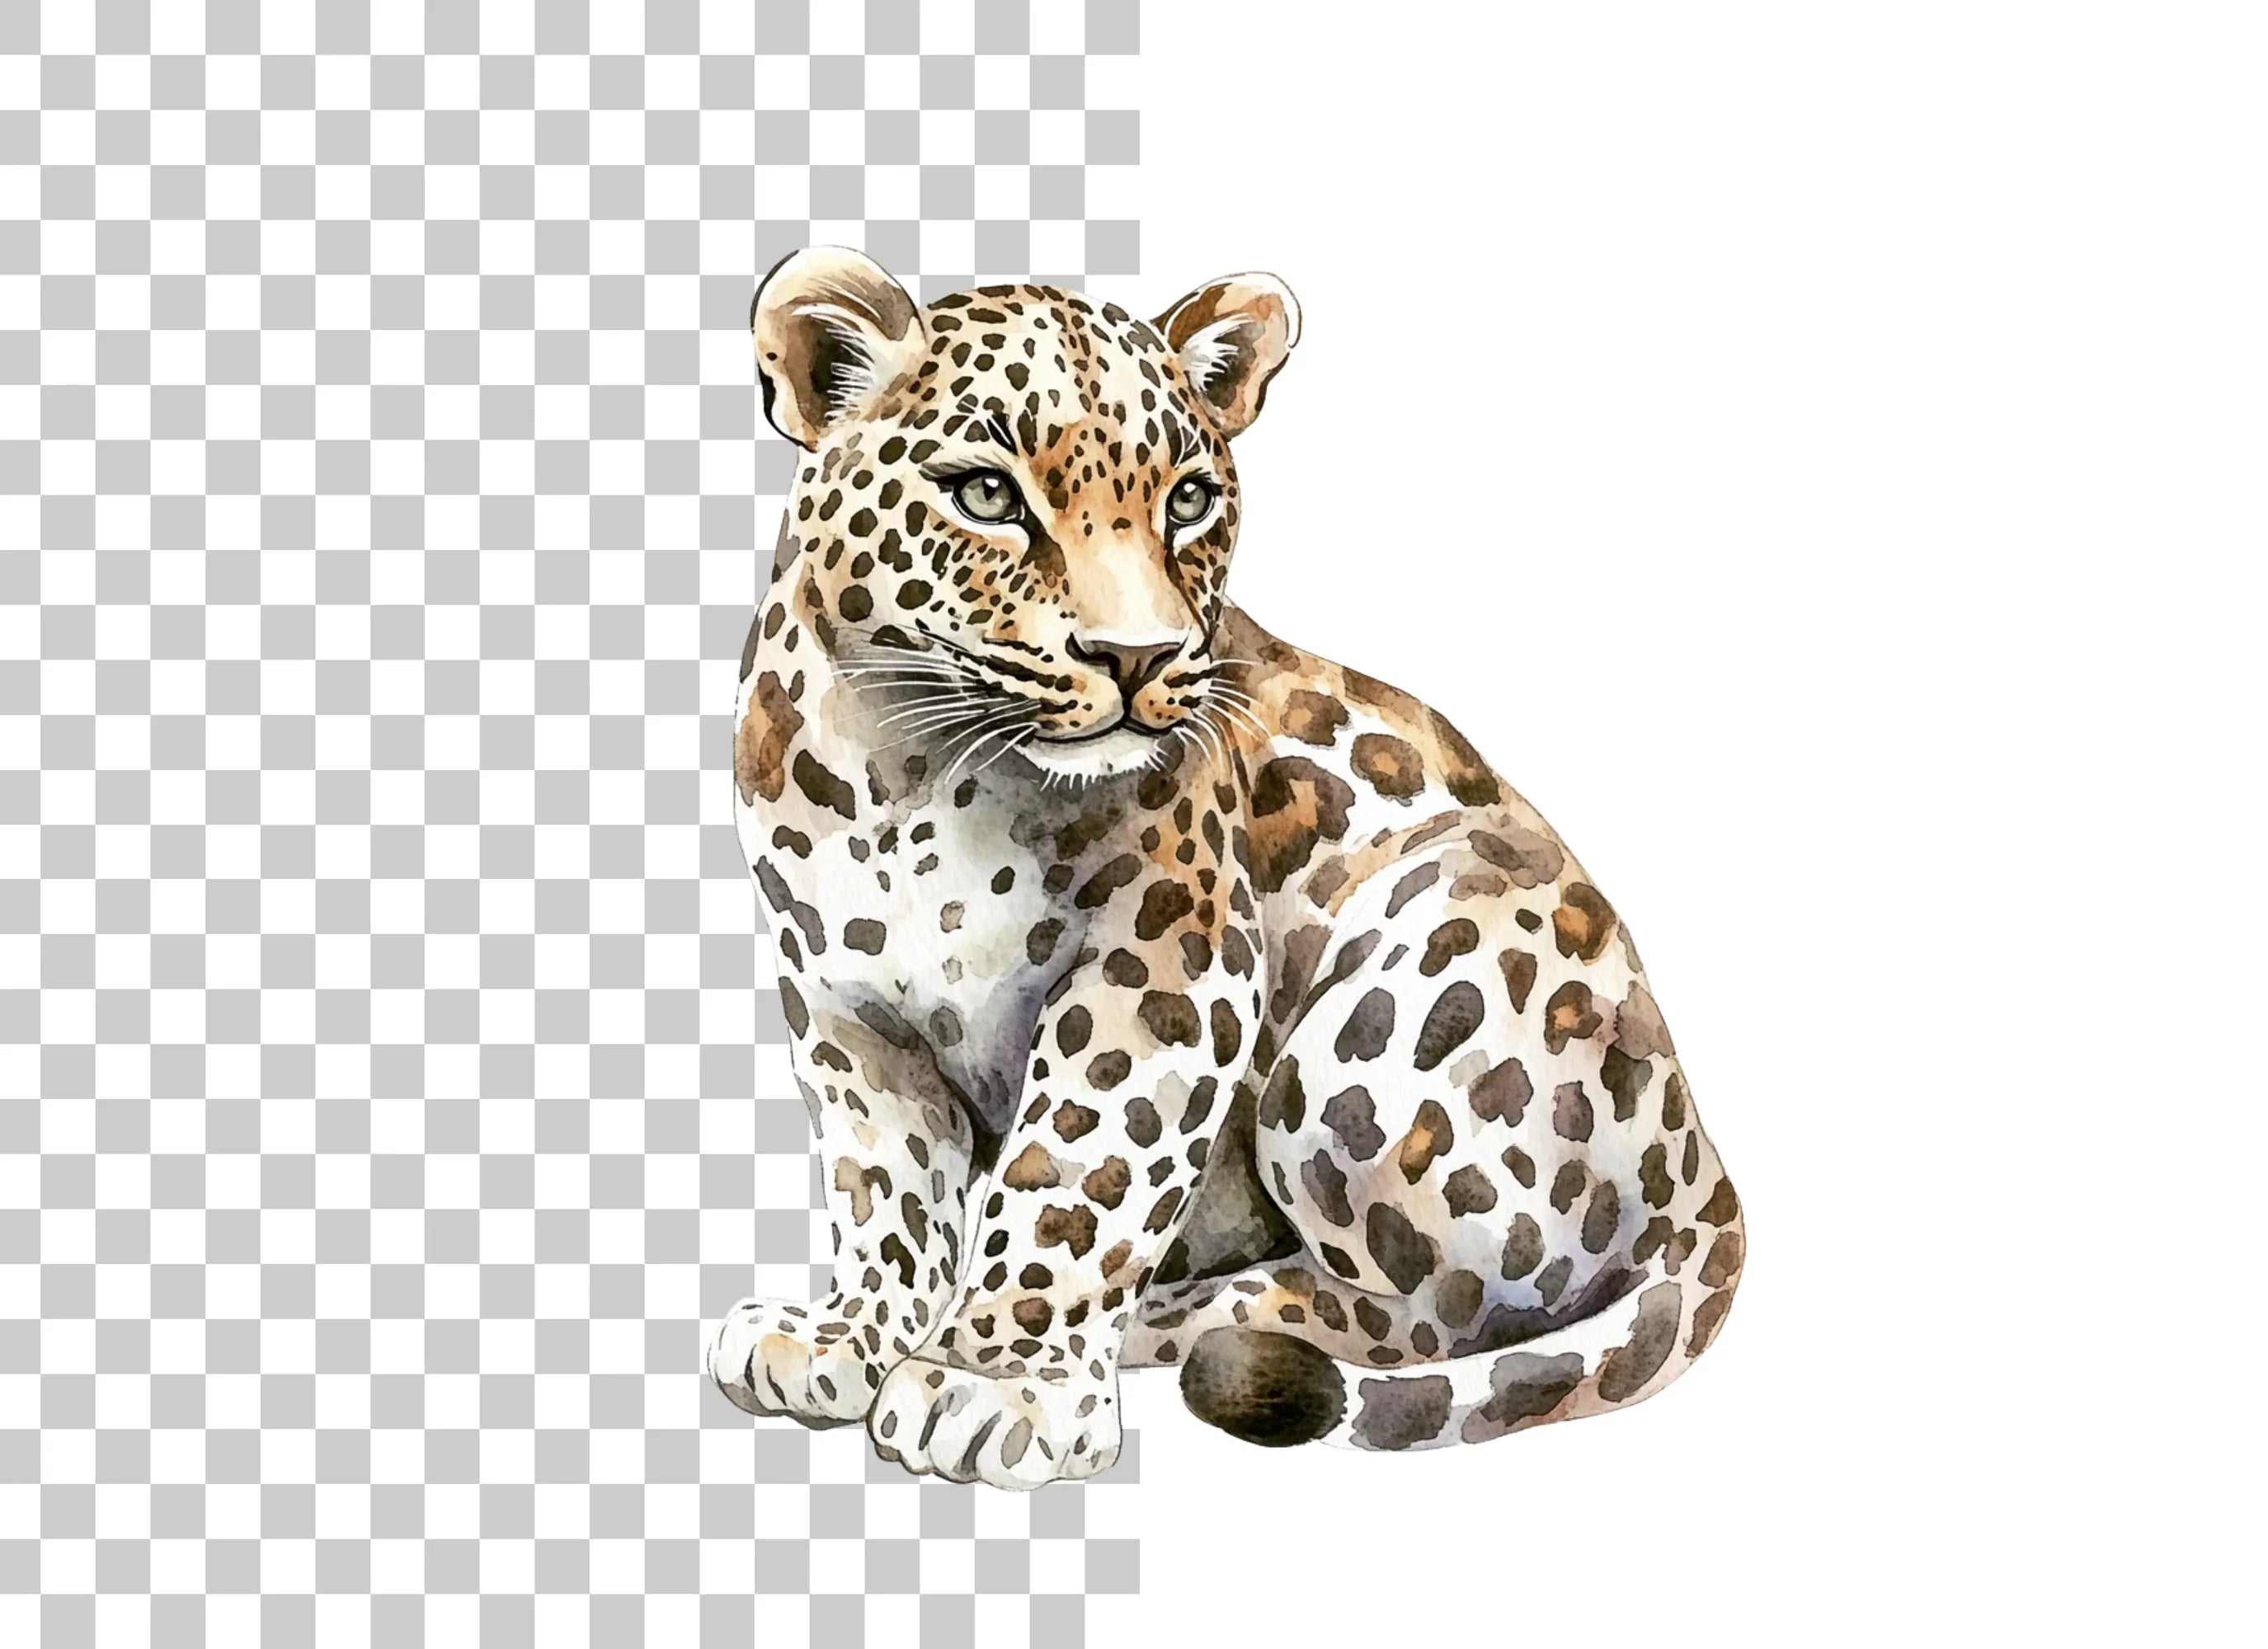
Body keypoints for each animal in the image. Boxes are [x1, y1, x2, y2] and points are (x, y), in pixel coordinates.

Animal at [704, 247, 1745, 1488]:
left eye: (1187, 500)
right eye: (988, 497)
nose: (1138, 657)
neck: (908, 771)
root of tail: (1699, 1158)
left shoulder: (1168, 967)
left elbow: (1072, 1173)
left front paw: (993, 1381)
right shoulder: (843, 1008)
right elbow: (885, 1185)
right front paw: (851, 1335)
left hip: (1396, 998)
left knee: (1423, 1309)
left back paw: (1178, 1316)